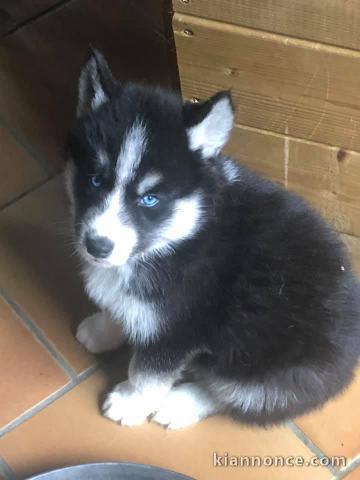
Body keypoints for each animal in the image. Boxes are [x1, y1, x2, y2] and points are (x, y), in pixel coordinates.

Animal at [66, 50, 360, 430]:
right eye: (95, 180)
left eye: (150, 199)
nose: (97, 246)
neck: (179, 237)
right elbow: (122, 309)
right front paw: (103, 328)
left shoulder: (180, 329)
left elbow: (147, 372)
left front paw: (131, 401)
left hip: (279, 368)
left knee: (236, 394)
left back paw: (179, 404)